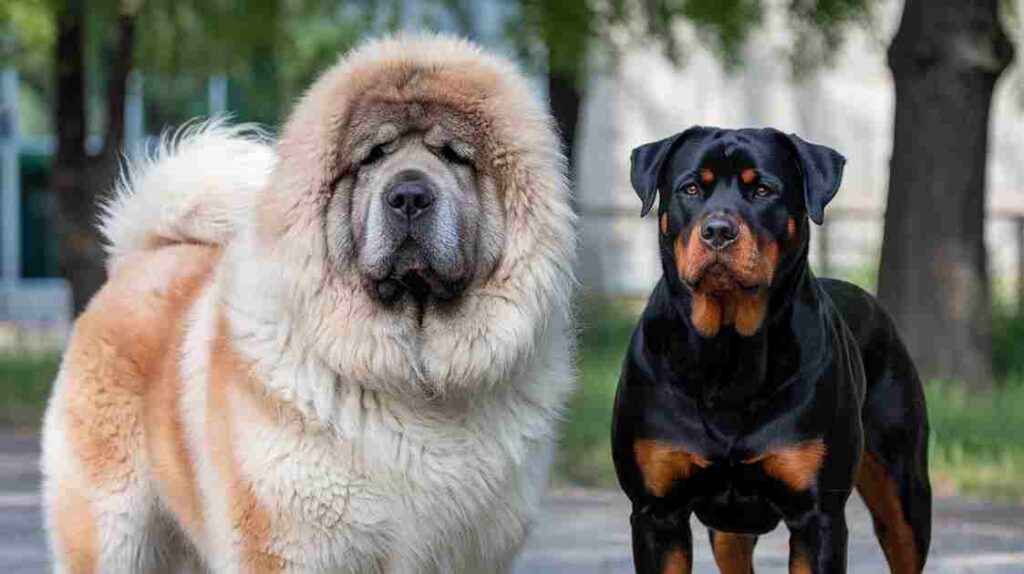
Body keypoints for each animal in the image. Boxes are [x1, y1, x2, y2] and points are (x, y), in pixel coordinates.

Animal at [41, 35, 577, 572]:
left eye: (453, 156)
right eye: (373, 156)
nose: (408, 195)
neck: (413, 379)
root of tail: (143, 256)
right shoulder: (290, 544)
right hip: (115, 533)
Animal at [610, 127, 933, 568]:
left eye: (763, 190)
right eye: (691, 188)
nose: (718, 230)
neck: (728, 352)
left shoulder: (818, 516)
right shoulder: (656, 512)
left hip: (904, 487)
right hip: (728, 531)